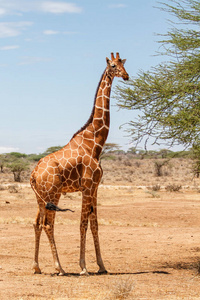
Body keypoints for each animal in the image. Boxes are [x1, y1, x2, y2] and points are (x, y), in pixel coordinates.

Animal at [30, 51, 129, 274]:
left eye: (123, 64)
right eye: (112, 66)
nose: (126, 76)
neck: (95, 142)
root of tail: (33, 174)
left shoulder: (95, 188)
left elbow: (94, 224)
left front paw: (101, 265)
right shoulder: (87, 186)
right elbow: (83, 224)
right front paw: (83, 266)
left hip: (41, 198)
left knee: (37, 223)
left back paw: (37, 266)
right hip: (53, 194)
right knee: (48, 224)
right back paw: (59, 267)